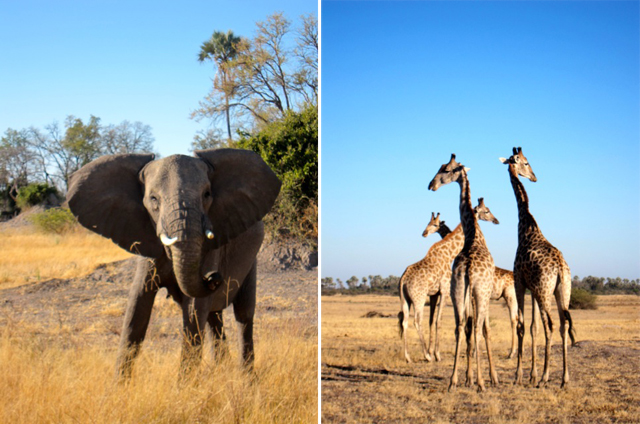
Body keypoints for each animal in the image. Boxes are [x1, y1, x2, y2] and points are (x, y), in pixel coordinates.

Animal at [65, 149, 282, 378]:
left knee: (243, 313)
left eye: (207, 194)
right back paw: (221, 370)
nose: (213, 276)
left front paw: (185, 386)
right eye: (153, 199)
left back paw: (245, 378)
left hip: (252, 258)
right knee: (214, 316)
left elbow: (193, 313)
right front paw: (118, 385)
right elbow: (137, 308)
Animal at [398, 200, 502, 362]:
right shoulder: (444, 291)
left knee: (404, 322)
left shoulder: (435, 294)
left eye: (434, 224)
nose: (495, 220)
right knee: (417, 320)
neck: (449, 254)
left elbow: (433, 321)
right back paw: (427, 356)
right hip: (419, 298)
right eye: (487, 211)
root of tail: (403, 279)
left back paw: (408, 357)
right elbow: (439, 321)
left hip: (405, 299)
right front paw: (437, 354)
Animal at [430, 154, 500, 392]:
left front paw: (467, 378)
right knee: (476, 328)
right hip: (480, 293)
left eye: (446, 169)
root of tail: (469, 267)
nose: (431, 185)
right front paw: (486, 378)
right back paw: (480, 383)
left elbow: (467, 329)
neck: (473, 235)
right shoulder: (485, 295)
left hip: (457, 291)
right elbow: (483, 330)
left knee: (461, 327)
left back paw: (453, 381)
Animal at [502, 146, 576, 388]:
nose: (534, 177)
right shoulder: (533, 289)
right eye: (525, 162)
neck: (525, 226)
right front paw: (531, 374)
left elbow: (522, 326)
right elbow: (533, 328)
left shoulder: (519, 282)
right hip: (563, 291)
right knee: (563, 325)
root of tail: (561, 267)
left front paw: (520, 375)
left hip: (546, 292)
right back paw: (563, 379)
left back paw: (545, 377)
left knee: (550, 325)